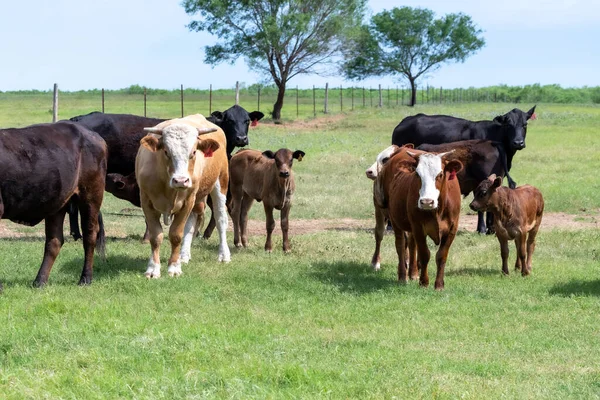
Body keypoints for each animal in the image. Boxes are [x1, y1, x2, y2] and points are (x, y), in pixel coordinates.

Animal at [0, 120, 106, 286]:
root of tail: (90, 133)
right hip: (58, 203)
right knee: (54, 240)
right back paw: (39, 281)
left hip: (91, 194)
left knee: (90, 234)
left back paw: (85, 278)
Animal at [135, 114, 231, 276]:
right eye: (166, 152)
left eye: (193, 153)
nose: (181, 180)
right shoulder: (146, 201)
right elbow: (156, 236)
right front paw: (153, 268)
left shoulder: (187, 201)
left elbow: (176, 235)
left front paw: (174, 267)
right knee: (191, 223)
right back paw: (184, 255)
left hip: (220, 182)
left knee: (220, 219)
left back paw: (224, 254)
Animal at [376, 148, 464, 290]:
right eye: (417, 174)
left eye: (440, 174)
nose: (426, 202)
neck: (437, 210)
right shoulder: (418, 227)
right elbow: (424, 254)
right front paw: (424, 282)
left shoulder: (452, 229)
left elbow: (441, 255)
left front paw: (439, 284)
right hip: (395, 221)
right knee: (401, 245)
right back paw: (403, 276)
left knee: (412, 245)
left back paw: (413, 273)